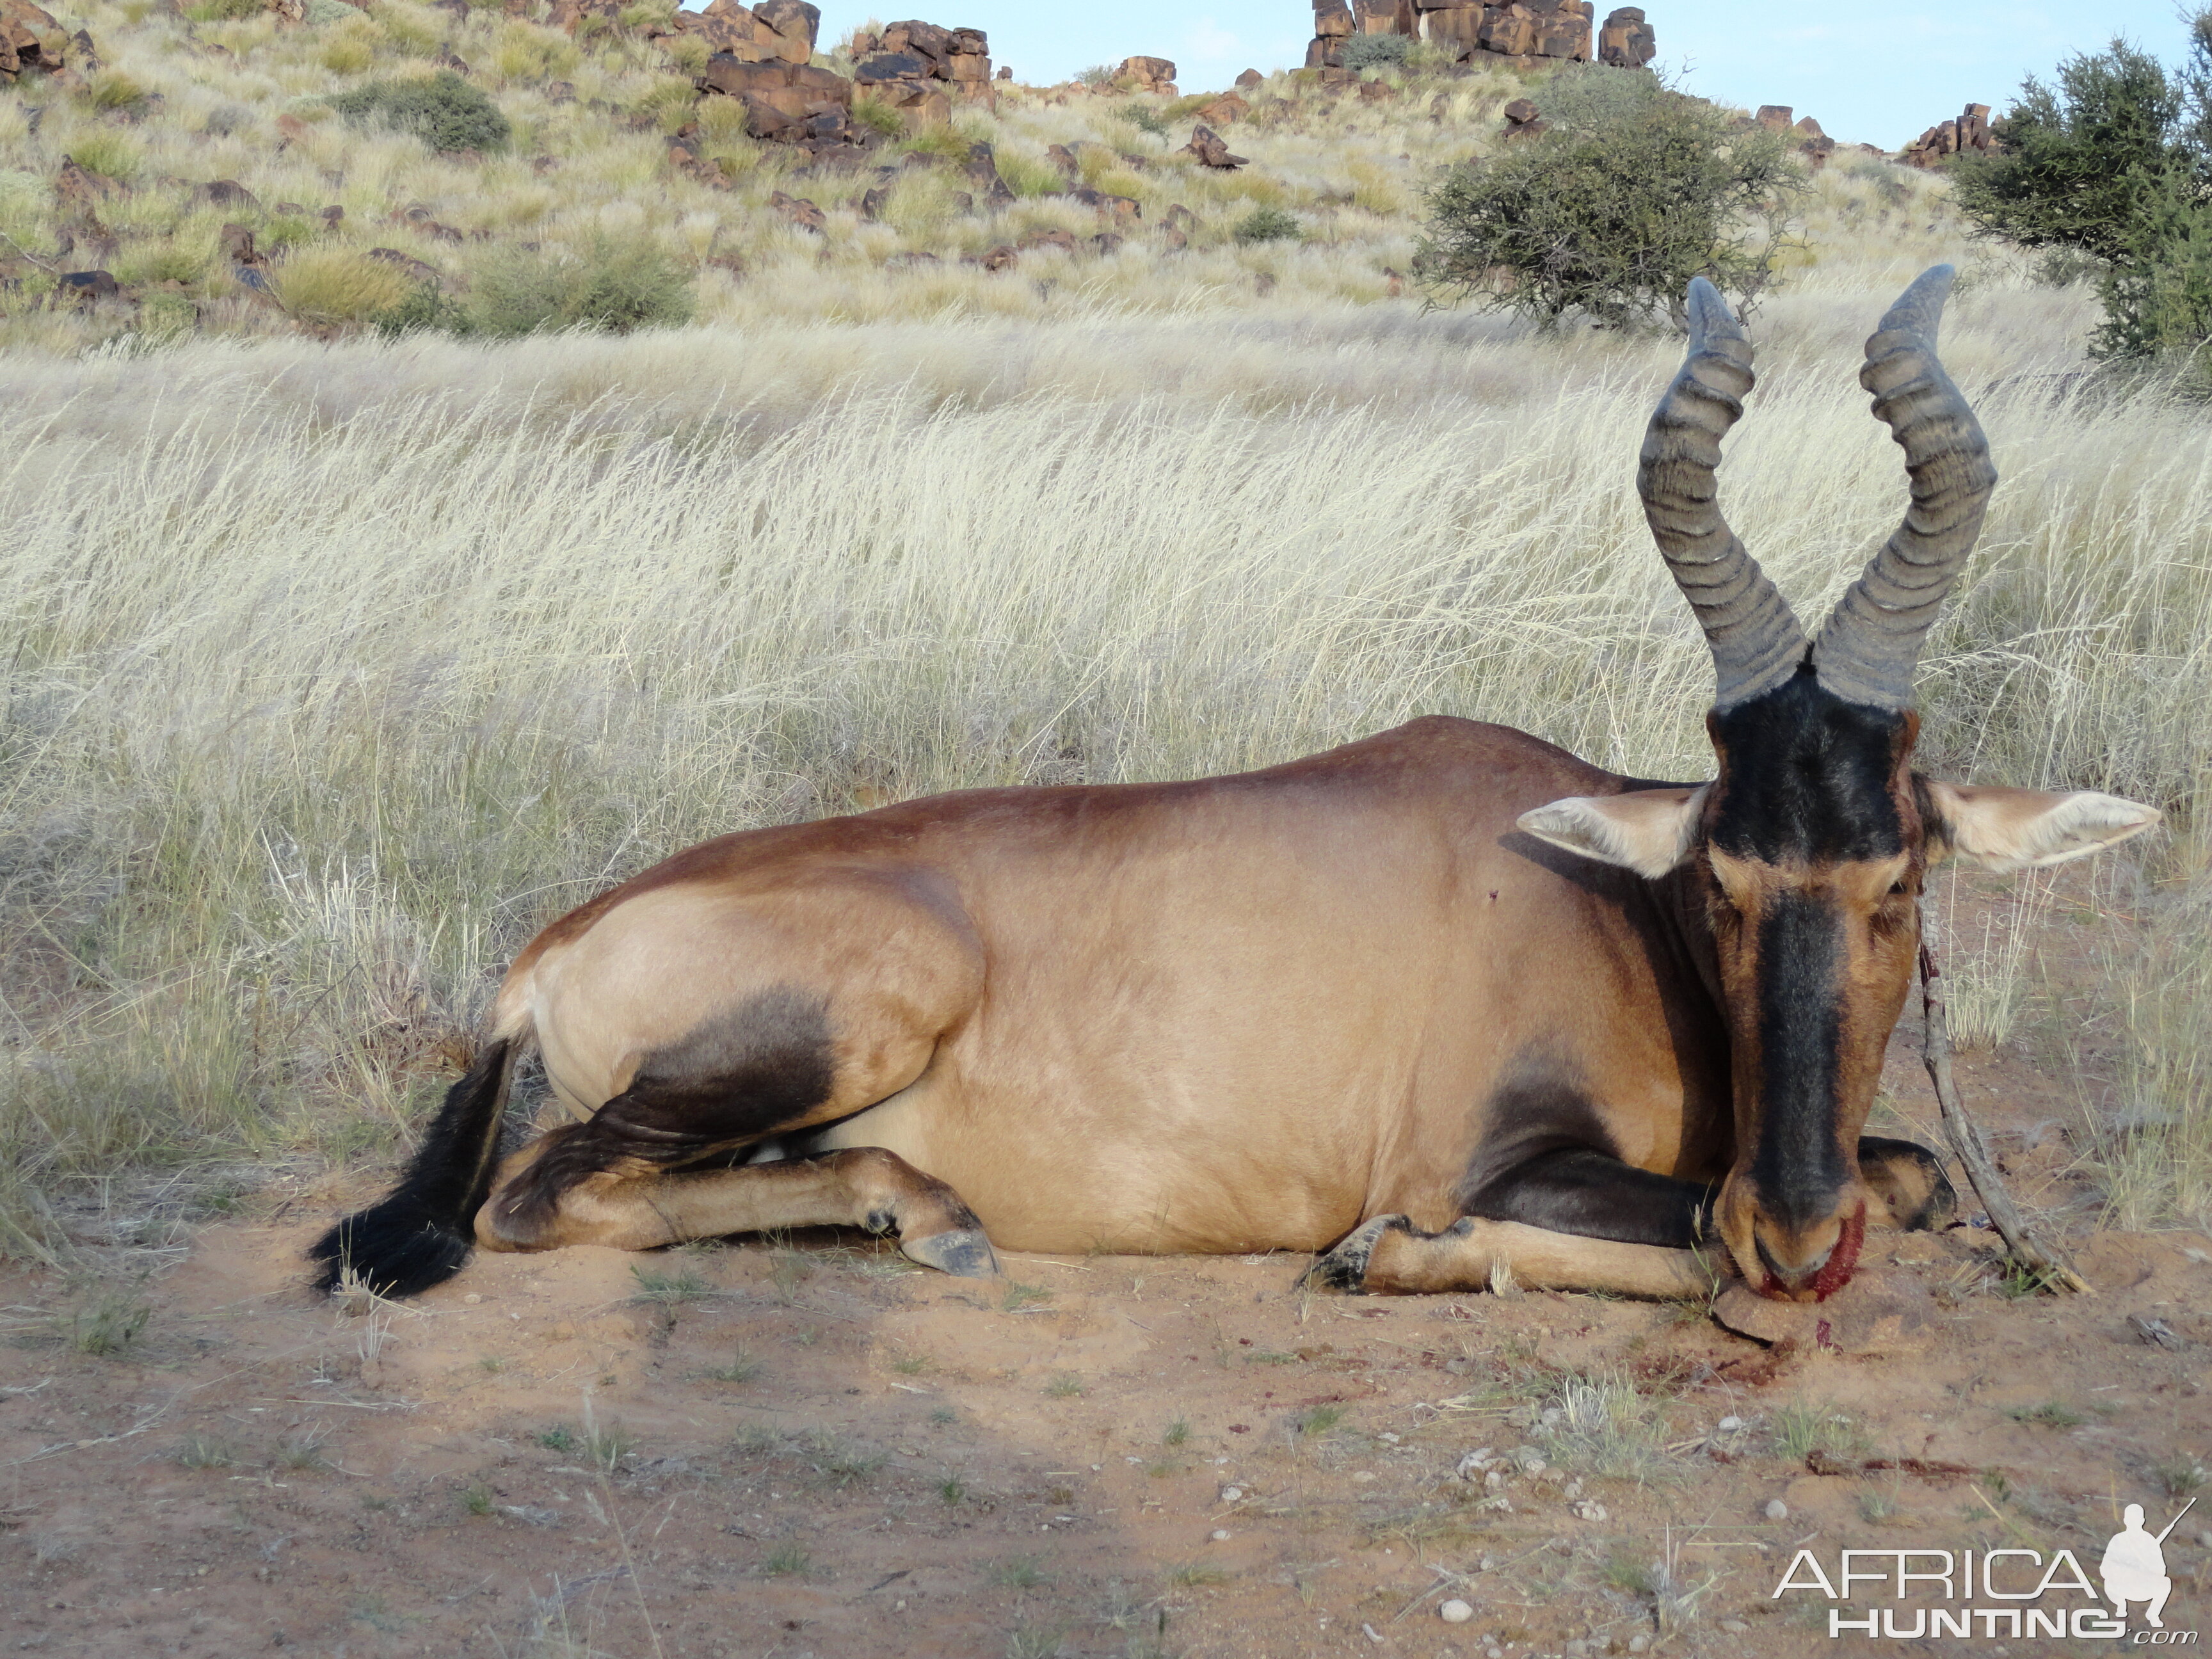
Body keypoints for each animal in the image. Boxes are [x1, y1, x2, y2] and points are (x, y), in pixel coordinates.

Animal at [316, 269, 2159, 1309]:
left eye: (1897, 878)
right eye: (1724, 878)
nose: (1797, 1236)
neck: (1592, 903)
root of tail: (549, 948)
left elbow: (1912, 1179)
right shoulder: (1499, 1156)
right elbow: (1683, 1221)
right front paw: (1382, 1253)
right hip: (869, 999)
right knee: (546, 1194)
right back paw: (933, 1217)